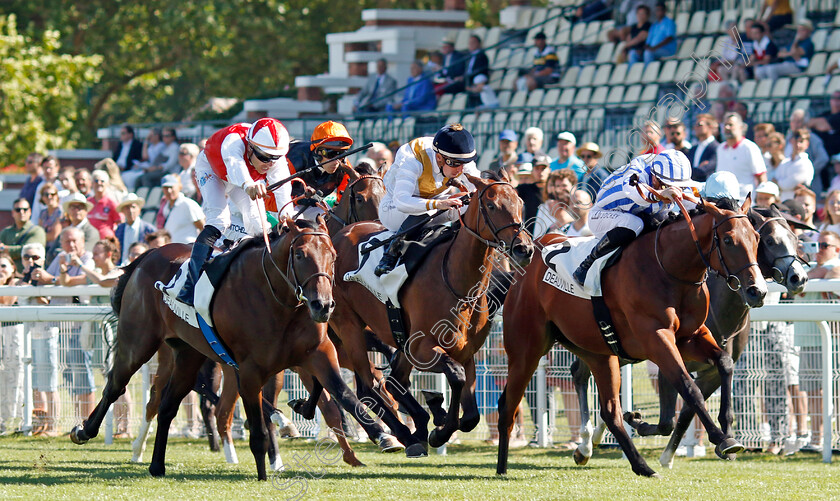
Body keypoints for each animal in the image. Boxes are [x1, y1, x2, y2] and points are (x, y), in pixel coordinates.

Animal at [70, 216, 398, 480]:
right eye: (300, 254)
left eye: (332, 255)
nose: (323, 305)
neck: (279, 301)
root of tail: (147, 256)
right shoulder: (249, 371)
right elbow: (260, 426)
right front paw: (264, 473)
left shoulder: (318, 354)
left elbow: (345, 395)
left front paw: (383, 435)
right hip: (138, 341)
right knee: (116, 385)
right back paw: (84, 431)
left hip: (188, 354)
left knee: (167, 405)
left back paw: (157, 465)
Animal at [330, 175, 536, 454]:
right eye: (492, 206)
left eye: (520, 203)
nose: (524, 249)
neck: (457, 280)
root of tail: (337, 236)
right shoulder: (422, 348)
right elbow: (456, 376)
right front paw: (439, 432)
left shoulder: (465, 350)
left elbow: (471, 415)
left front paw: (439, 419)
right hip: (348, 327)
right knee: (369, 385)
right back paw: (400, 435)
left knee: (391, 380)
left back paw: (417, 426)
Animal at [498, 195, 768, 476]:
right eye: (728, 240)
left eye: (757, 238)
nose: (757, 291)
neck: (669, 268)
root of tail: (530, 260)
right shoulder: (657, 339)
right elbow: (688, 388)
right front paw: (721, 438)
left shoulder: (690, 337)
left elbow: (723, 364)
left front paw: (726, 428)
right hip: (526, 349)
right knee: (508, 404)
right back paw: (502, 467)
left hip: (597, 352)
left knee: (607, 408)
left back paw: (632, 462)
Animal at [572, 202, 808, 464]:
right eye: (768, 240)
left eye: (795, 238)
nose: (799, 277)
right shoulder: (667, 357)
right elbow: (670, 416)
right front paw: (639, 424)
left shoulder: (710, 371)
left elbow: (687, 410)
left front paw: (678, 452)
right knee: (579, 373)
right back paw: (585, 443)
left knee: (583, 372)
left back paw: (591, 439)